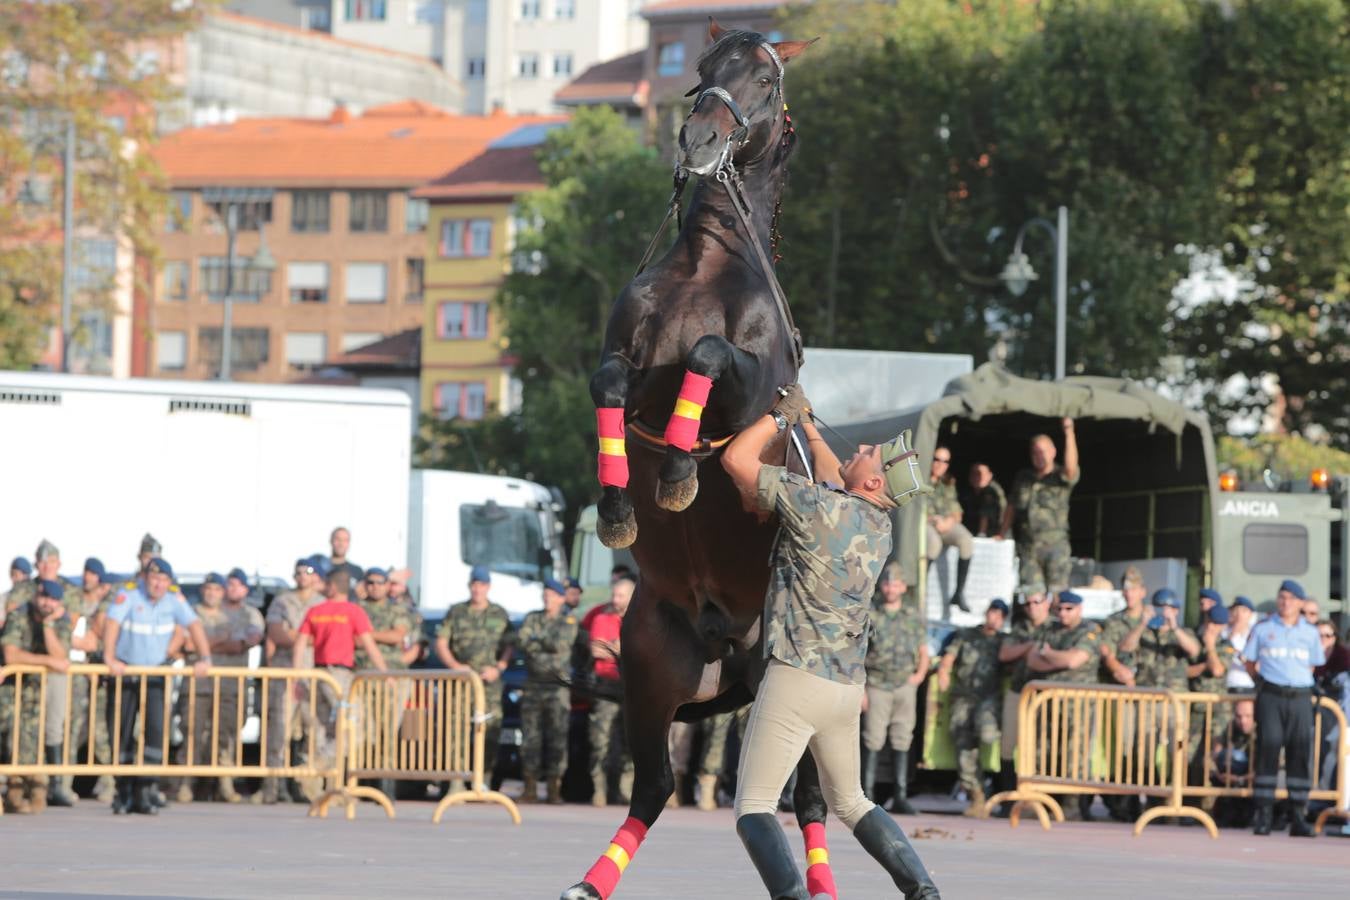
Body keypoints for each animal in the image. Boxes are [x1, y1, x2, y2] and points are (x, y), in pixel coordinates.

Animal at [558, 17, 831, 900]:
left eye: (765, 83)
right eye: (703, 69)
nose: (702, 137)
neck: (708, 266)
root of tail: (724, 637)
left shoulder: (748, 397)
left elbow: (711, 357)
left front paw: (678, 476)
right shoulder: (628, 362)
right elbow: (610, 380)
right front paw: (620, 503)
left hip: (790, 687)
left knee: (807, 798)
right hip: (653, 666)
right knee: (652, 786)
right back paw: (591, 880)